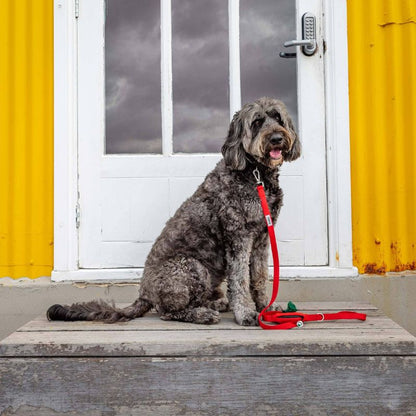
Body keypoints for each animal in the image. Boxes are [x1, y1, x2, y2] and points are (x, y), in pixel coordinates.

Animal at [47, 96, 300, 324]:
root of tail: (145, 293)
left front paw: (266, 307)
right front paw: (246, 313)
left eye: (277, 117)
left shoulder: (261, 238)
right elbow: (239, 280)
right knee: (169, 312)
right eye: (257, 122)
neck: (255, 173)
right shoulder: (238, 237)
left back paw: (215, 303)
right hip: (191, 267)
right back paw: (203, 314)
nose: (277, 138)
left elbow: (259, 277)